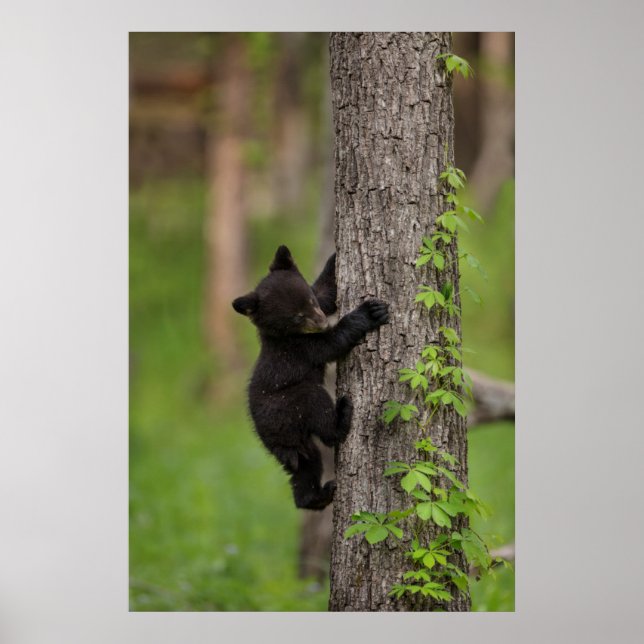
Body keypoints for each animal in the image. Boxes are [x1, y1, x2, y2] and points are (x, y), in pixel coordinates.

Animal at [232, 245, 389, 510]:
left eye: (310, 301)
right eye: (296, 316)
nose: (322, 322)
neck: (285, 335)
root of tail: (272, 438)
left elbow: (326, 292)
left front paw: (335, 259)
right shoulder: (300, 348)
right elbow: (333, 343)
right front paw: (369, 312)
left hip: (296, 444)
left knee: (305, 466)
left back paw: (316, 496)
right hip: (291, 403)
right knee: (320, 415)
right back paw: (342, 417)